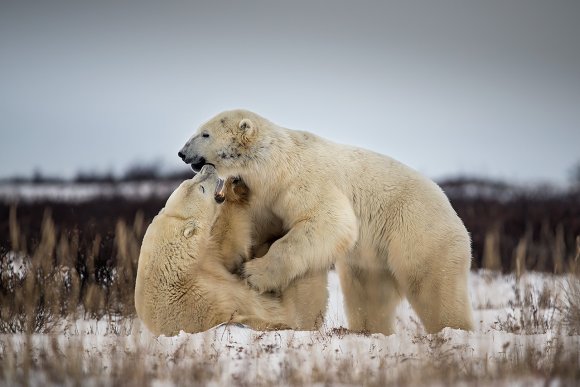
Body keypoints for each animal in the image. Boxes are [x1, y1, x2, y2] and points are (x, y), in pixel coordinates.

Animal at [133, 164, 328, 336]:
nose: (208, 167)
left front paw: (235, 185)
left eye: (191, 180)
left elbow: (227, 253)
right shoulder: (203, 300)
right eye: (201, 188)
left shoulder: (208, 260)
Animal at [178, 110, 476, 336]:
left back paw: (453, 330)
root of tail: (454, 212)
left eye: (205, 134)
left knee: (433, 286)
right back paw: (367, 330)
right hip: (374, 258)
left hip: (418, 230)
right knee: (369, 293)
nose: (182, 152)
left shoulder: (301, 179)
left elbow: (329, 219)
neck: (276, 162)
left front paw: (253, 274)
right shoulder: (265, 196)